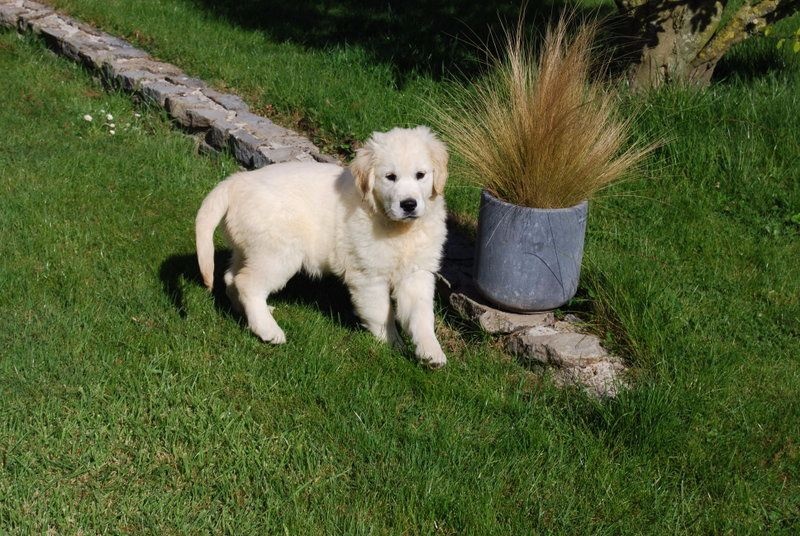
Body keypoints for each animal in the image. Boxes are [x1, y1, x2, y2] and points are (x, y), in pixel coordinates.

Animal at [195, 126, 450, 368]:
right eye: (390, 177)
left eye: (420, 175)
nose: (409, 204)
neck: (396, 227)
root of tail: (236, 181)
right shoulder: (369, 275)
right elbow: (381, 313)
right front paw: (391, 344)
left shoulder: (417, 273)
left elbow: (421, 315)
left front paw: (431, 352)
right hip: (277, 253)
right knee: (246, 283)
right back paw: (267, 329)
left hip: (249, 248)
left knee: (231, 277)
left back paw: (250, 314)